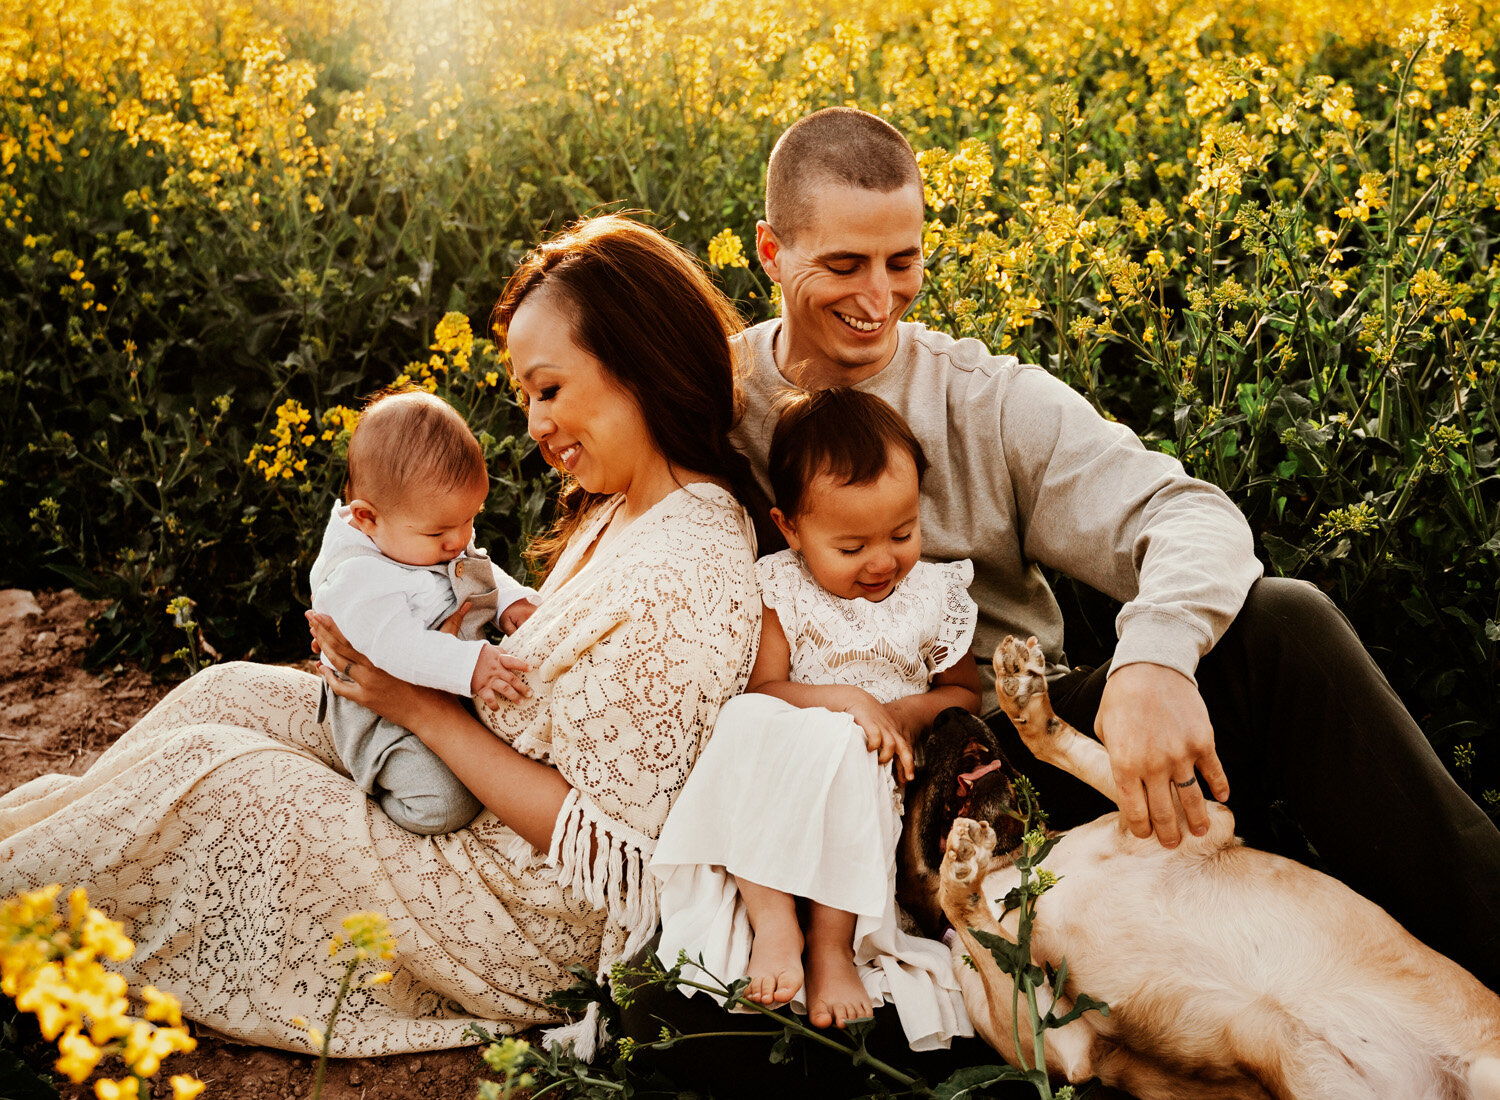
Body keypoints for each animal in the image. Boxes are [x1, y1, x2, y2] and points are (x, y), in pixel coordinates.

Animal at [900, 636, 1500, 1098]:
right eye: (910, 776)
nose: (948, 712)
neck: (1014, 866)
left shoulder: (1202, 820)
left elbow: (1073, 750)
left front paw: (1027, 699)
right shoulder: (1064, 1048)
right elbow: (976, 923)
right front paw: (961, 874)